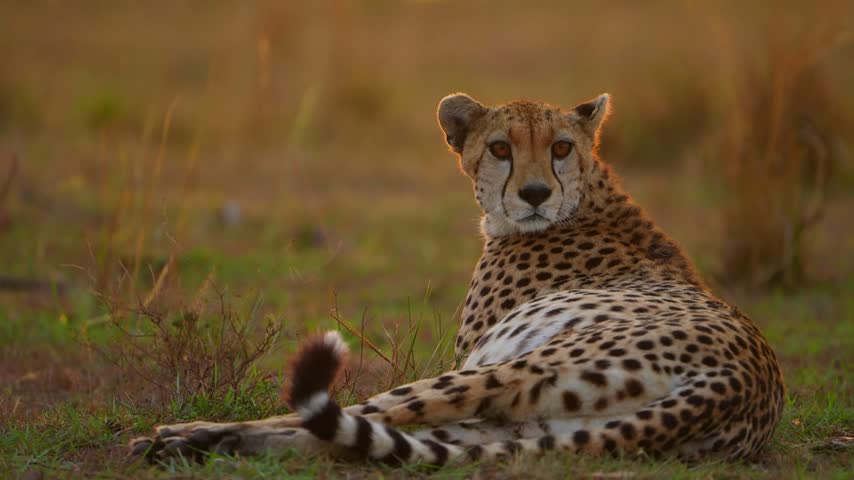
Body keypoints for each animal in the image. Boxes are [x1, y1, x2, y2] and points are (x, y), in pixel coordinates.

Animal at [129, 92, 785, 466]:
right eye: (499, 148)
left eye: (561, 147)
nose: (535, 193)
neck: (589, 196)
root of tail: (740, 383)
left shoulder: (474, 353)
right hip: (533, 420)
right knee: (369, 435)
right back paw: (199, 444)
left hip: (505, 372)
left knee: (352, 416)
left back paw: (186, 436)